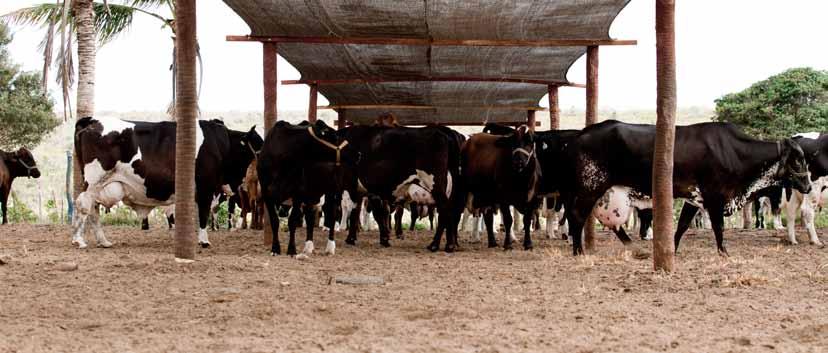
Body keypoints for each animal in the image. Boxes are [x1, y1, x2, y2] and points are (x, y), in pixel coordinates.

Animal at [74, 115, 264, 248]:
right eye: (259, 143)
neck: (221, 143)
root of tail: (92, 120)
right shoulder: (205, 187)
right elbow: (202, 214)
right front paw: (204, 241)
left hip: (99, 185)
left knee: (93, 209)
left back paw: (103, 241)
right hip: (94, 181)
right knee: (84, 205)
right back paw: (79, 240)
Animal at [256, 119, 352, 256]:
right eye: (335, 136)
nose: (358, 153)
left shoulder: (297, 192)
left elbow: (292, 221)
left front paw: (291, 249)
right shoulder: (266, 193)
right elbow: (274, 221)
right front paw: (275, 249)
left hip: (335, 188)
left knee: (333, 212)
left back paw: (330, 246)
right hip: (312, 192)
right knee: (310, 215)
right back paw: (308, 246)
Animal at [560, 119, 812, 254]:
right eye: (798, 160)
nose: (809, 185)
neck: (735, 152)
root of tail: (580, 134)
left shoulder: (694, 199)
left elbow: (681, 227)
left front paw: (672, 249)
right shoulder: (714, 197)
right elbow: (718, 228)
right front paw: (724, 252)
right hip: (590, 187)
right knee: (576, 217)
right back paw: (579, 250)